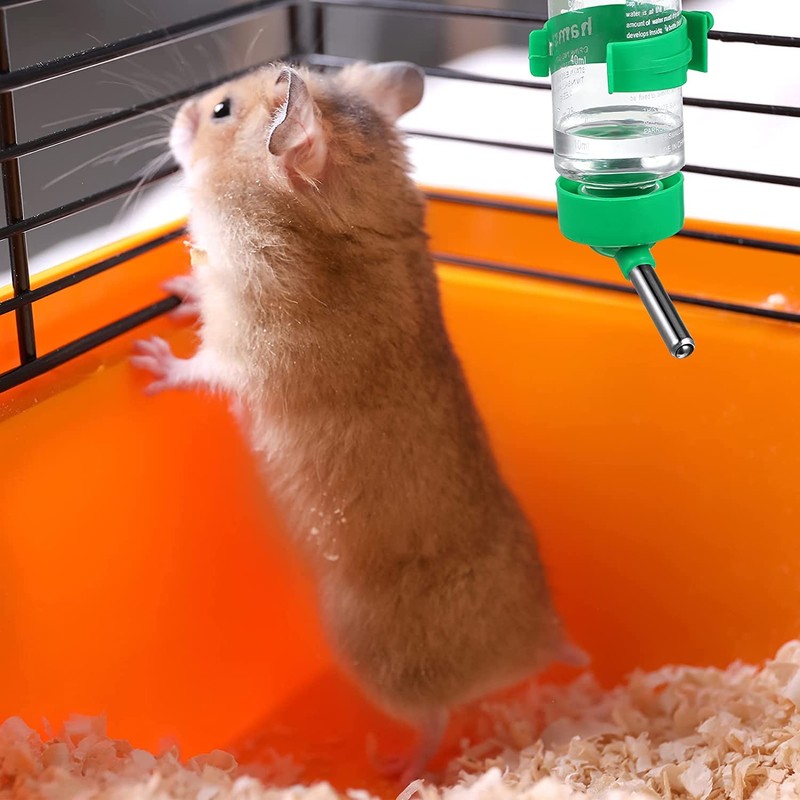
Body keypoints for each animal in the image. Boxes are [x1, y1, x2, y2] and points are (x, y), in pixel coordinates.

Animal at [131, 61, 586, 784]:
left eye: (222, 111)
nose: (178, 115)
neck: (338, 210)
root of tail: (543, 644)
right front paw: (173, 292)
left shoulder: (245, 344)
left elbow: (200, 367)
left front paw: (147, 361)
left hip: (370, 653)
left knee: (434, 718)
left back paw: (397, 767)